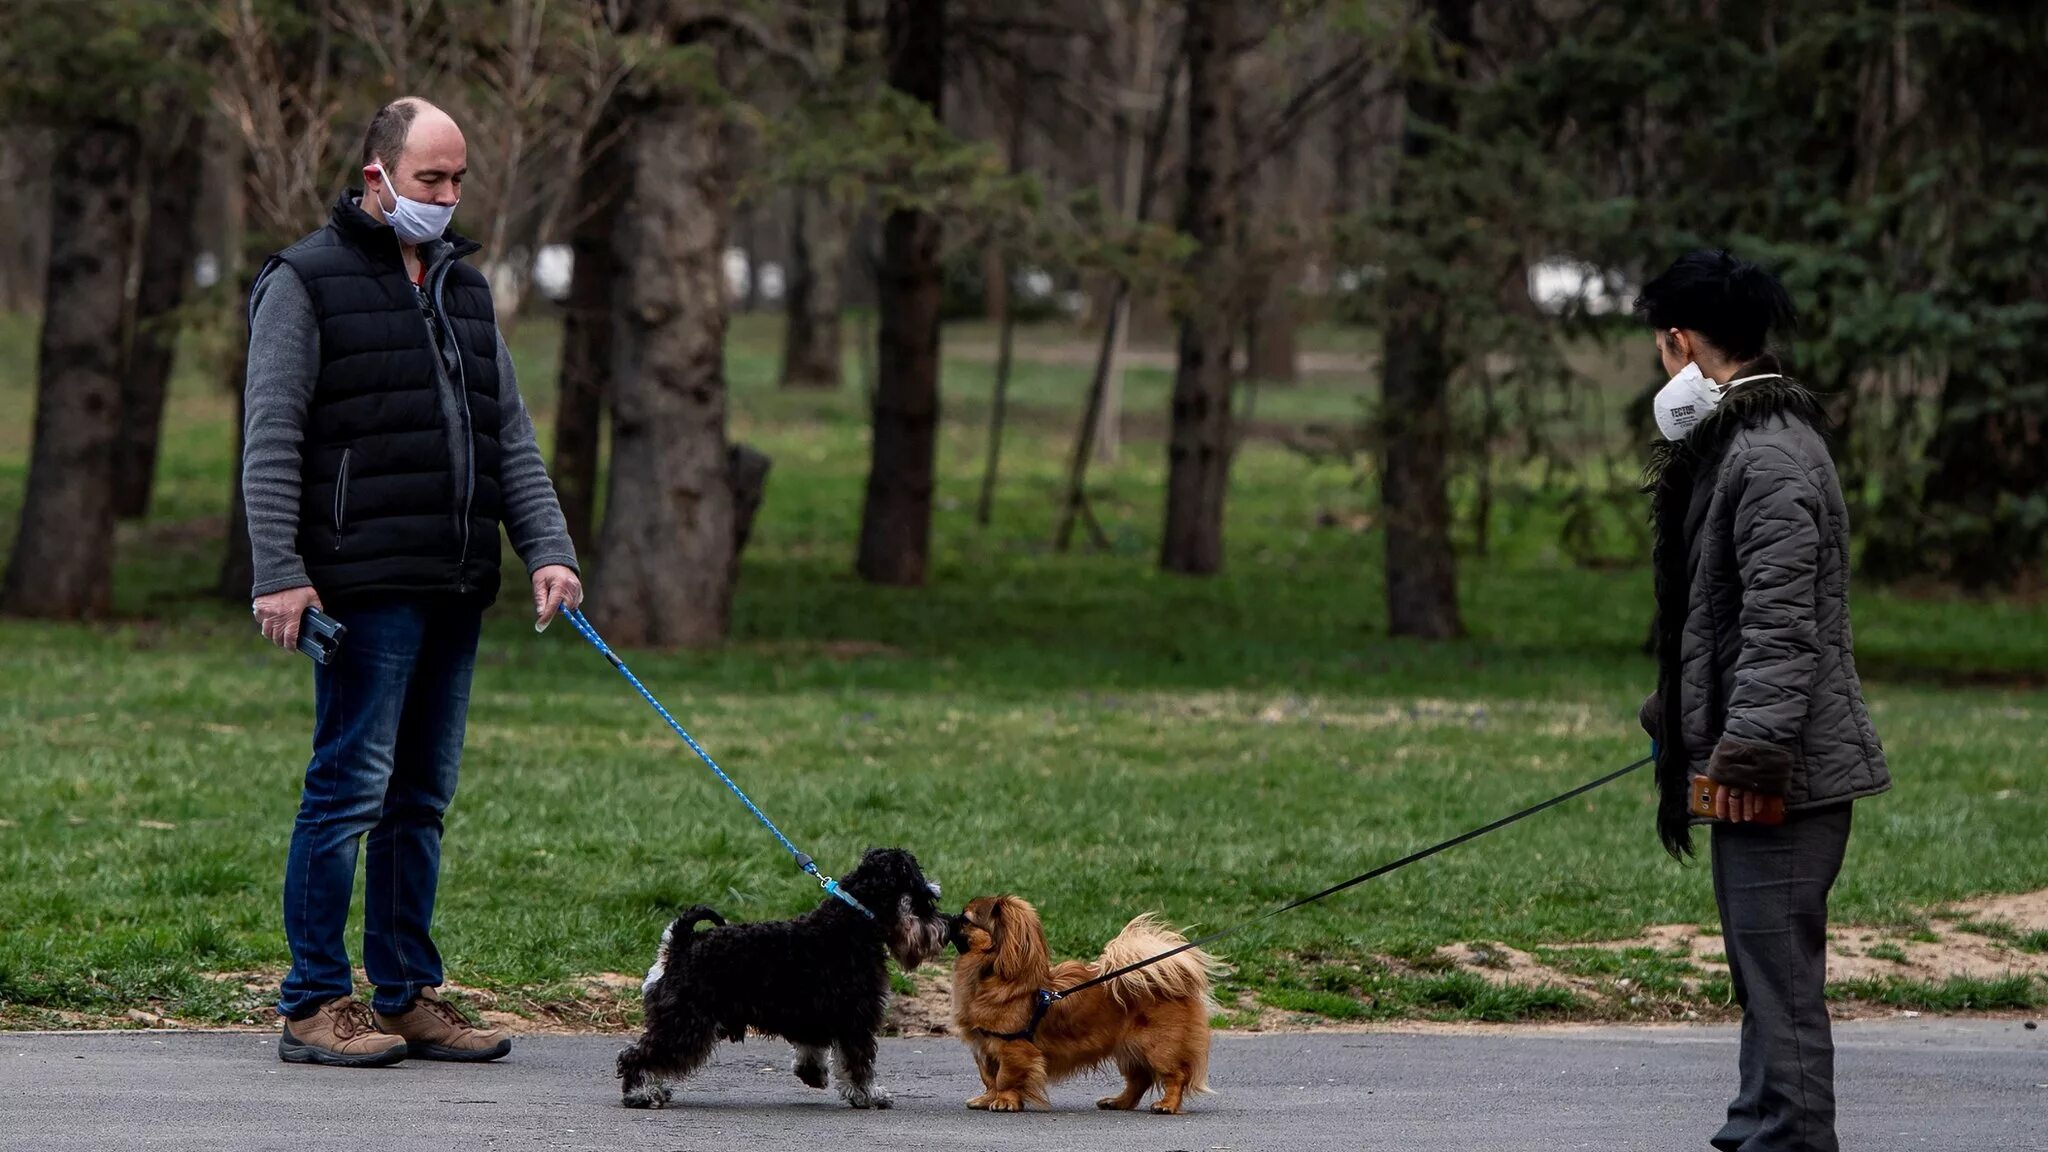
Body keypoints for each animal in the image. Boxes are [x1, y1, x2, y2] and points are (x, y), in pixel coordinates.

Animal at [618, 844, 946, 1106]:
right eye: (926, 898)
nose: (944, 930)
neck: (852, 920)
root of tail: (679, 944)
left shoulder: (814, 1015)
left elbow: (812, 1049)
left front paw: (813, 1075)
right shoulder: (857, 1020)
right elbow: (858, 1064)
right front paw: (869, 1096)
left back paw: (654, 1091)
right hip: (686, 1025)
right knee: (636, 1056)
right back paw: (641, 1094)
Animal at [946, 893, 1212, 1106]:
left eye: (966, 919)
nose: (949, 916)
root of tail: (1175, 979)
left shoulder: (1013, 1049)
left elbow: (1004, 1079)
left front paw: (1004, 1101)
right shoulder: (984, 1048)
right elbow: (989, 1078)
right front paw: (987, 1099)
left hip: (1159, 1048)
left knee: (1175, 1076)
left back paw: (1167, 1105)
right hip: (1130, 1050)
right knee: (1139, 1080)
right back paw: (1118, 1102)